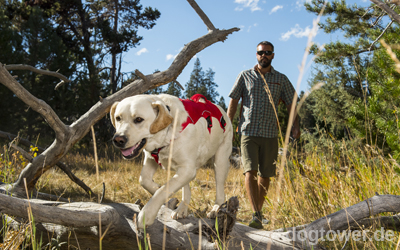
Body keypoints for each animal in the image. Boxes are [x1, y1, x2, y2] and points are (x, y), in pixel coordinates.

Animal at [111, 93, 233, 228]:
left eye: (138, 119)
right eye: (118, 118)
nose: (118, 139)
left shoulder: (188, 169)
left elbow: (162, 190)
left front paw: (146, 215)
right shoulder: (151, 159)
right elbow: (144, 180)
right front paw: (157, 189)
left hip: (220, 160)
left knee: (220, 189)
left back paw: (215, 209)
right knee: (186, 189)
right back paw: (181, 209)